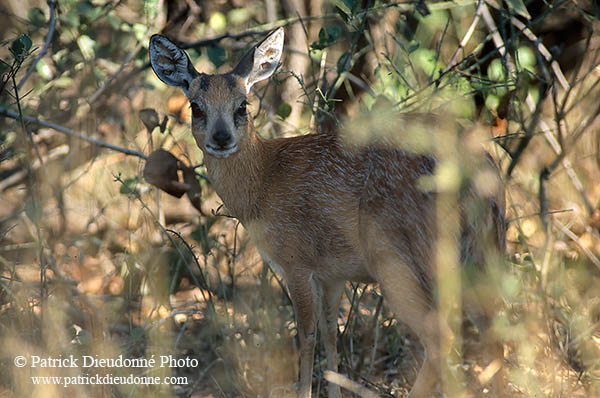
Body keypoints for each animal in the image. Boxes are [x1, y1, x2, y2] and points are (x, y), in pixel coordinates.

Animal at [148, 28, 504, 398]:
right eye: (196, 107)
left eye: (242, 105)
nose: (221, 138)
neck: (263, 183)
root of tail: (476, 168)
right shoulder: (333, 273)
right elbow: (332, 333)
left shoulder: (296, 263)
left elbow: (306, 335)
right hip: (481, 254)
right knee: (495, 332)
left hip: (400, 260)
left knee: (441, 336)